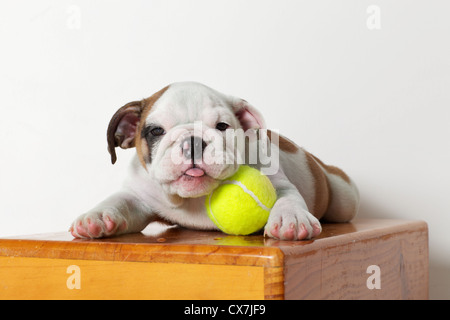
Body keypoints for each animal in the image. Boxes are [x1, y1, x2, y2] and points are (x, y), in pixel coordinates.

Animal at [69, 82, 358, 240]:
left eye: (221, 127)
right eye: (156, 131)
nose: (194, 141)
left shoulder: (279, 185)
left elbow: (287, 198)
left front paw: (292, 219)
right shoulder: (139, 196)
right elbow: (120, 201)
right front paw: (96, 216)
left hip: (343, 200)